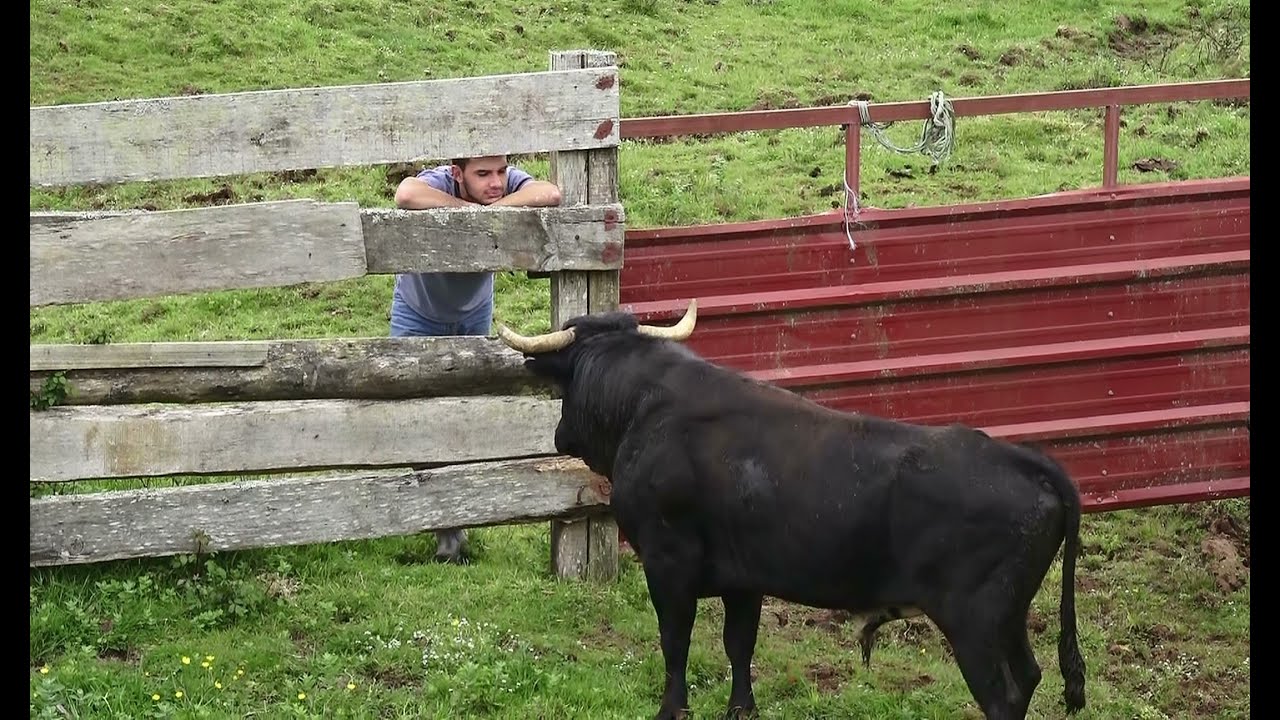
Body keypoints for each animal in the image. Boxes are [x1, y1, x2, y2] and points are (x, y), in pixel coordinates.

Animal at [497, 300, 1087, 720]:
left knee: (1002, 696)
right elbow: (739, 644)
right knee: (1029, 678)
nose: (559, 434)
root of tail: (1019, 457)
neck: (647, 407)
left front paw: (672, 710)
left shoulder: (668, 563)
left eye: (564, 379)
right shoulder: (743, 577)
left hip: (974, 622)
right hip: (1007, 616)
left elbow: (675, 641)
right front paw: (741, 710)